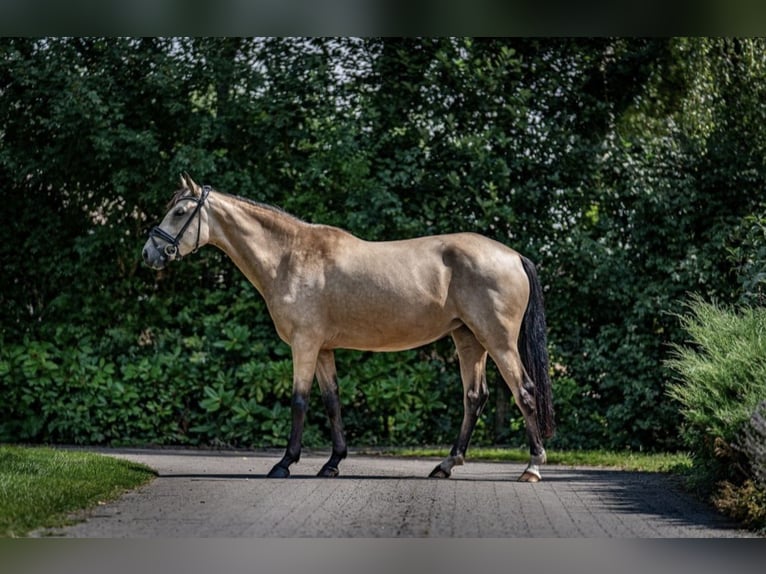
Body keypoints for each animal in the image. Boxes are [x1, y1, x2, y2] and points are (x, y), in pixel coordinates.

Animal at [141, 174, 556, 482]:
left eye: (180, 212)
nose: (150, 253)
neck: (290, 256)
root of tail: (513, 256)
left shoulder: (304, 345)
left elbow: (299, 401)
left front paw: (284, 463)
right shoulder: (323, 348)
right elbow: (332, 401)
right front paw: (332, 463)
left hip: (498, 340)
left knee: (524, 391)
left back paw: (532, 467)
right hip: (468, 339)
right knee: (474, 397)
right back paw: (446, 465)